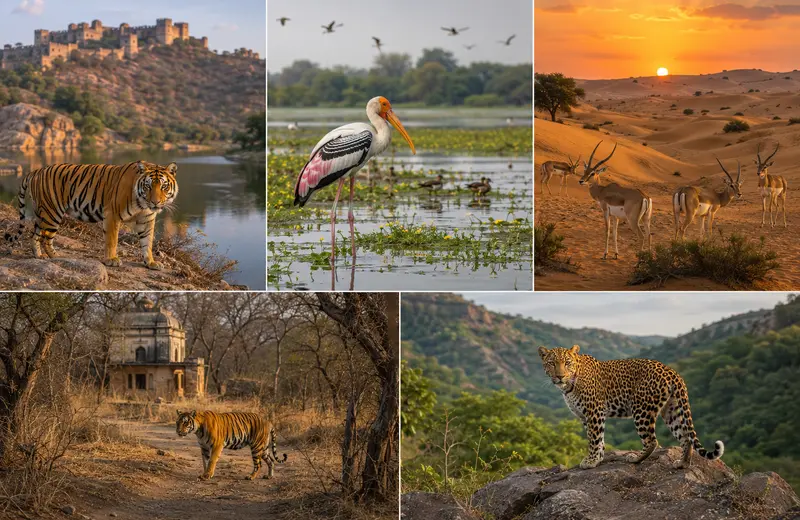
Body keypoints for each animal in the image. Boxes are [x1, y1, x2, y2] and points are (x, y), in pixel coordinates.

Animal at [4, 161, 178, 270]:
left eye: (164, 186)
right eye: (148, 186)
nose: (155, 202)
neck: (143, 204)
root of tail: (37, 170)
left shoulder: (146, 220)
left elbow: (147, 243)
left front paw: (151, 262)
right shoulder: (112, 215)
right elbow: (112, 240)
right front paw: (111, 260)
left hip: (43, 213)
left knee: (35, 235)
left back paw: (39, 256)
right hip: (52, 213)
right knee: (46, 238)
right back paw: (54, 255)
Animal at [538, 345, 724, 469]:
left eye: (567, 362)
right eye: (552, 363)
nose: (560, 376)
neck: (568, 386)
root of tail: (672, 372)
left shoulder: (594, 412)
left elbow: (594, 438)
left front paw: (591, 461)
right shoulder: (585, 417)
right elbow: (596, 438)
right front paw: (599, 457)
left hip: (641, 409)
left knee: (652, 441)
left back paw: (635, 459)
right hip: (671, 409)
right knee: (685, 437)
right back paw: (682, 464)